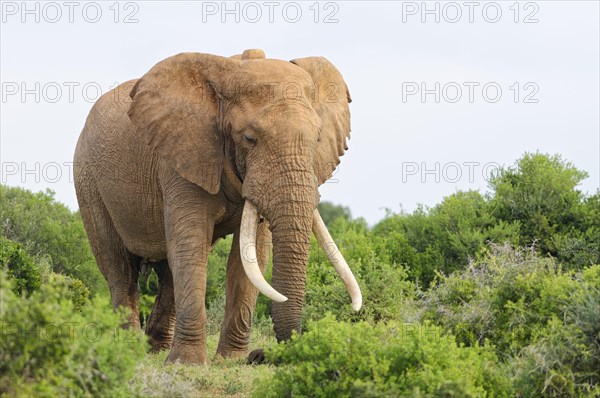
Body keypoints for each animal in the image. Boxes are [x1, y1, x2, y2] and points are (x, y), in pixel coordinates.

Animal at [76, 49, 360, 364]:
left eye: (318, 138)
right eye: (249, 139)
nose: (260, 356)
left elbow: (250, 256)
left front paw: (231, 361)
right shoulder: (182, 156)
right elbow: (191, 244)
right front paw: (189, 364)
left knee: (168, 273)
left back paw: (155, 350)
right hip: (88, 181)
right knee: (120, 269)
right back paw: (129, 351)